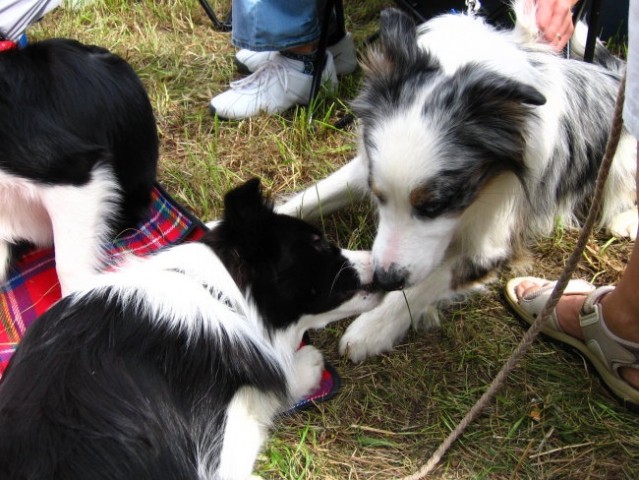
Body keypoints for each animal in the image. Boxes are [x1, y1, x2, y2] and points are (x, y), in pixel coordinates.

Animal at [278, 0, 636, 360]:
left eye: (435, 205)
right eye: (378, 196)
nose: (384, 279)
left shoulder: (493, 240)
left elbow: (425, 283)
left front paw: (371, 328)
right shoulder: (364, 169)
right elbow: (308, 199)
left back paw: (624, 218)